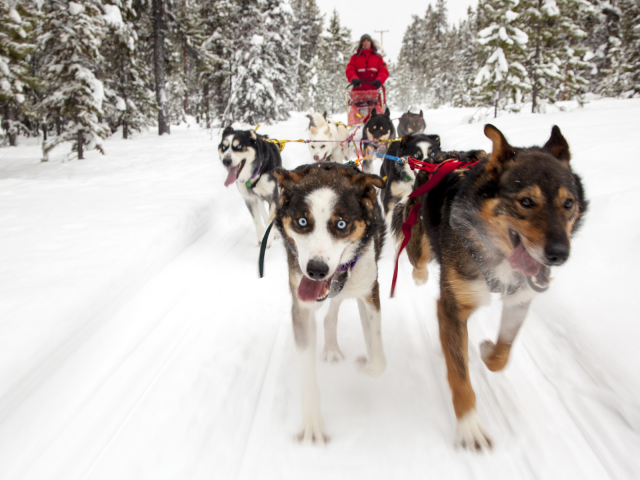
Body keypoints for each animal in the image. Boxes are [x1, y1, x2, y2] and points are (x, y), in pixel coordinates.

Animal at [272, 163, 388, 444]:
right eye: (302, 222)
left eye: (341, 224)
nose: (316, 270)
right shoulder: (301, 308)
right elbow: (307, 373)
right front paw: (312, 423)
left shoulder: (369, 292)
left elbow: (378, 360)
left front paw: (363, 365)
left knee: (334, 309)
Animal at [392, 124, 588, 450]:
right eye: (526, 202)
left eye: (568, 204)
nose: (559, 254)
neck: (495, 252)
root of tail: (437, 158)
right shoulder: (452, 307)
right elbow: (460, 377)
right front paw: (469, 426)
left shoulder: (520, 299)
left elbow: (502, 354)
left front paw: (486, 351)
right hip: (418, 237)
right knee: (416, 256)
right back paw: (419, 275)